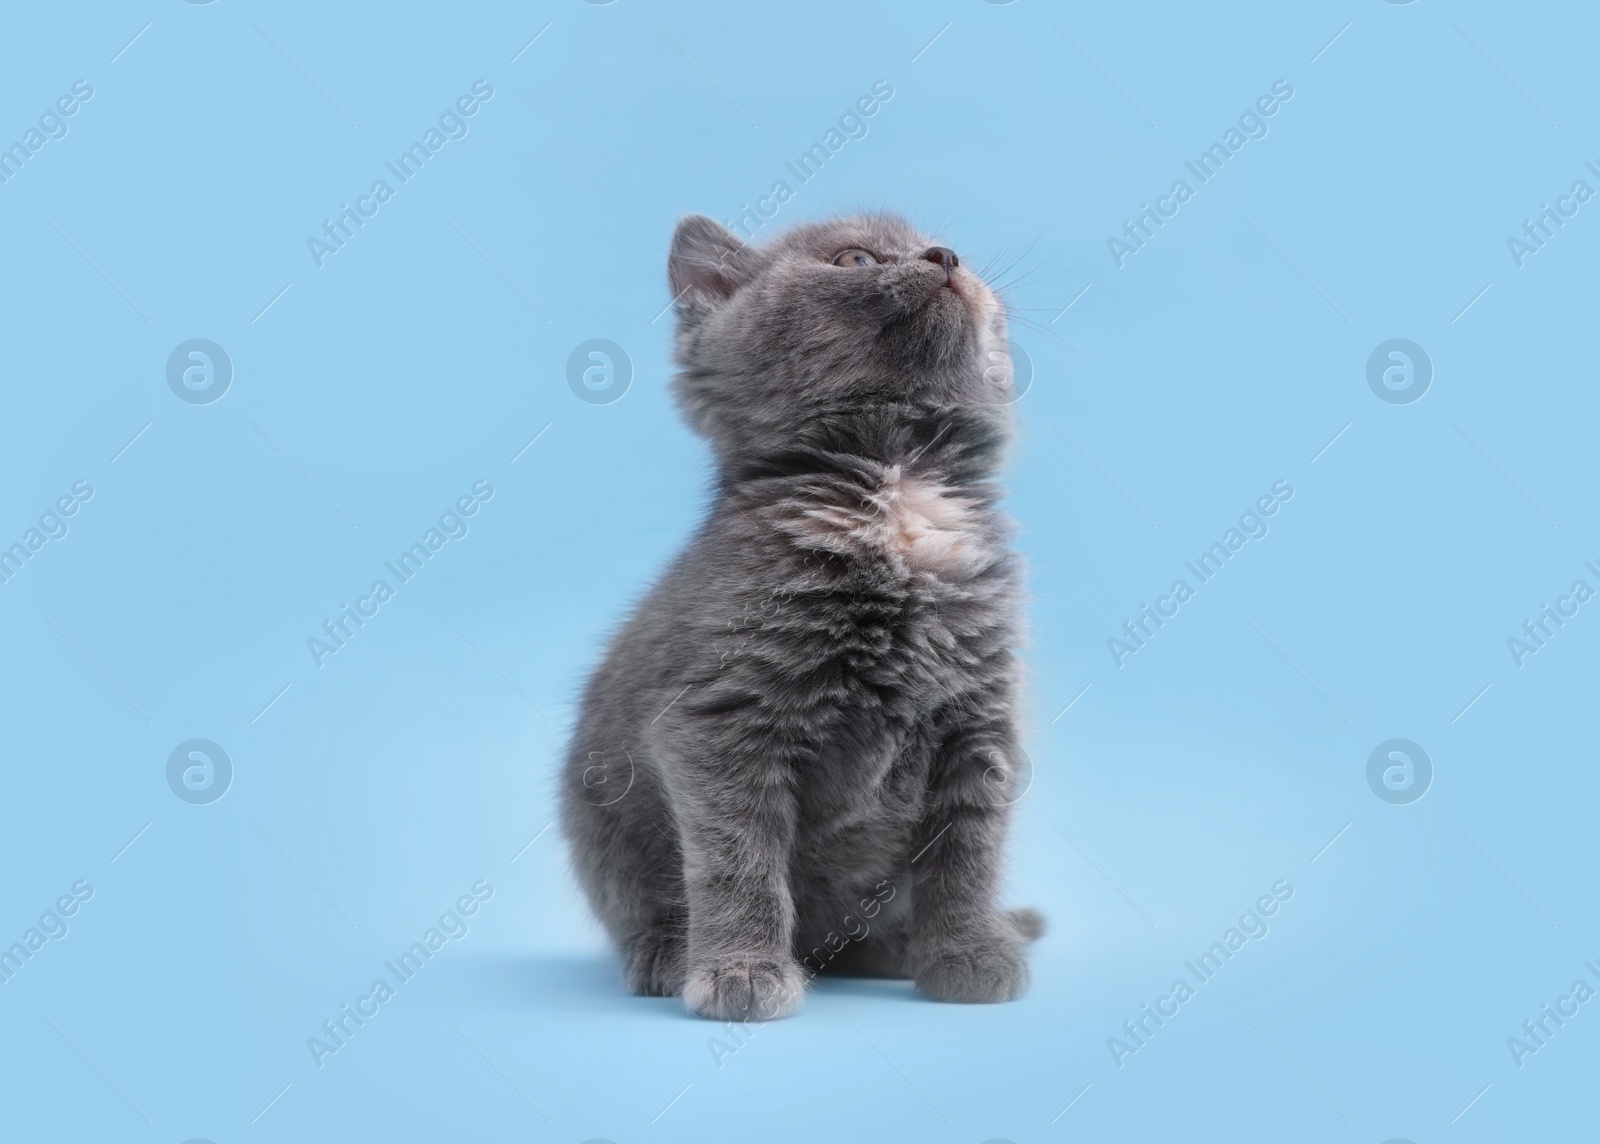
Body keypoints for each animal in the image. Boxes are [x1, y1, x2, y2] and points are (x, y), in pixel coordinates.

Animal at [560, 208, 1036, 1017]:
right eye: (854, 259)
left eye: (949, 250)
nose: (944, 257)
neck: (898, 490)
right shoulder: (719, 722)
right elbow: (738, 856)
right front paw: (742, 972)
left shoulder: (979, 718)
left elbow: (969, 847)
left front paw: (968, 951)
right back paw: (666, 954)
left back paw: (895, 948)